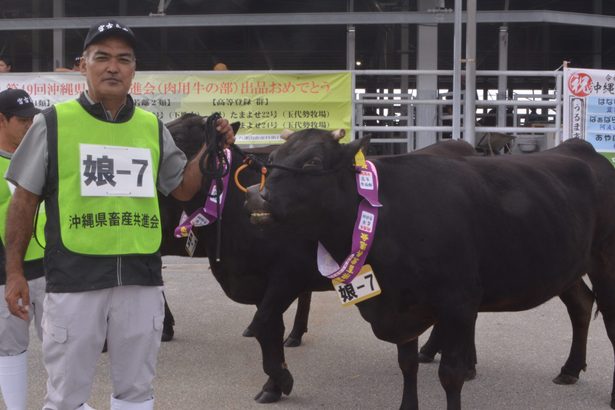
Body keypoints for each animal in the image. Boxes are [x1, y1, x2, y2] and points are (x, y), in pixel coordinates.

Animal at [244, 131, 615, 410]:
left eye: (313, 162)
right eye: (274, 156)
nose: (257, 197)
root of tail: (579, 146)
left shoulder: (458, 302)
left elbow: (451, 374)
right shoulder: (402, 306)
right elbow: (407, 364)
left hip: (605, 261)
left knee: (610, 323)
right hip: (565, 265)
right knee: (581, 304)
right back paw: (570, 369)